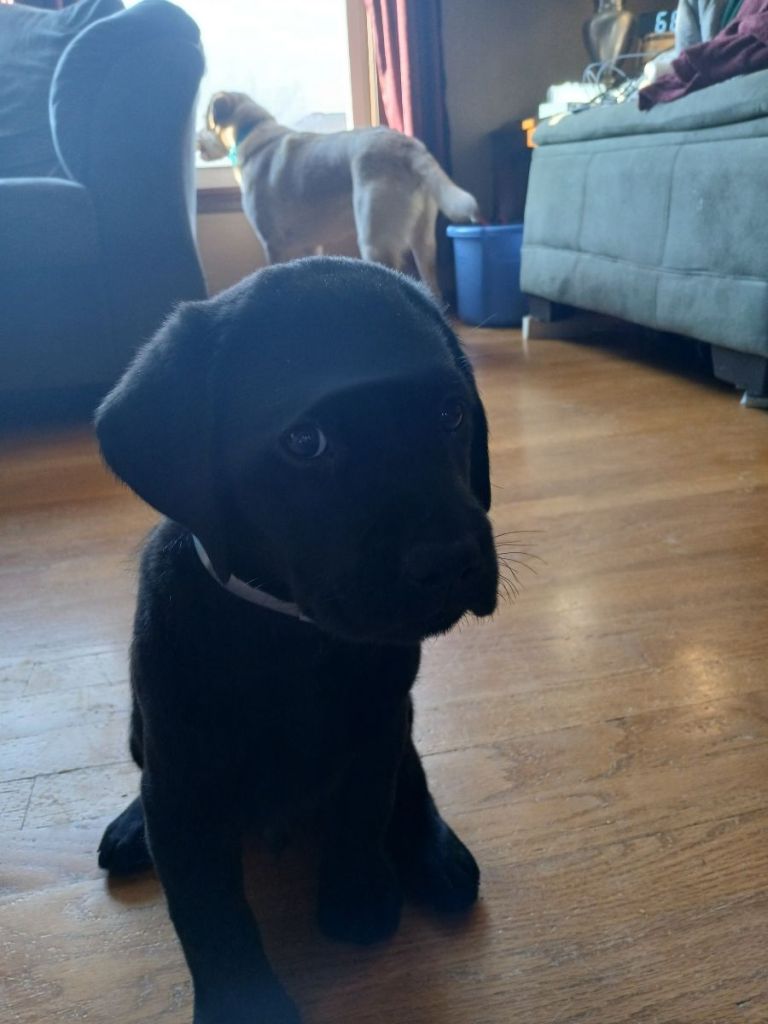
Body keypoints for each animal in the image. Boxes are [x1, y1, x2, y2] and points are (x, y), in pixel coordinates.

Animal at [95, 257, 499, 1024]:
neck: (288, 631)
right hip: (145, 733)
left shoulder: (375, 727)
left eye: (450, 413)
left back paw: (435, 854)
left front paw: (358, 899)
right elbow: (207, 908)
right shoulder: (185, 777)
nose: (453, 561)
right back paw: (132, 826)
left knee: (412, 775)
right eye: (304, 442)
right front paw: (241, 1002)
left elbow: (363, 810)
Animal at [197, 91, 480, 295]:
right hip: (423, 243)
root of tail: (407, 145)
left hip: (374, 241)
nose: (196, 141)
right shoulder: (311, 245)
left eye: (205, 122)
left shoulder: (272, 243)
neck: (250, 132)